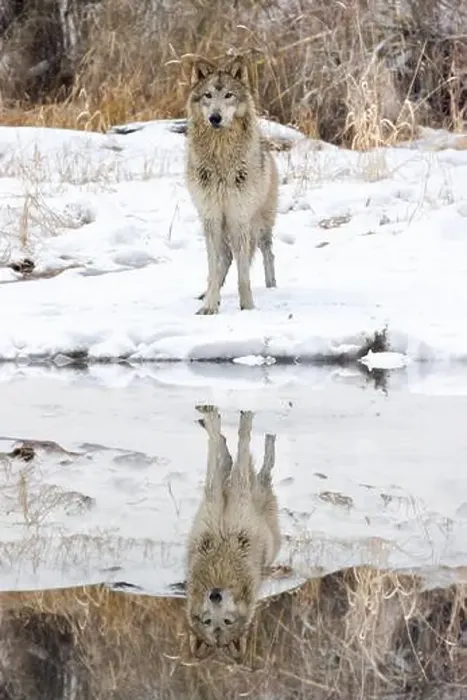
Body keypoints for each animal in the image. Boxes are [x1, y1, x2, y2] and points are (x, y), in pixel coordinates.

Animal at [185, 54, 279, 314]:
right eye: (208, 95)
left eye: (229, 95)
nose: (215, 118)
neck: (221, 159)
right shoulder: (211, 217)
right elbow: (213, 268)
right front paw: (209, 306)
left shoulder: (240, 217)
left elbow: (244, 273)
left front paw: (247, 307)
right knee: (224, 260)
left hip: (261, 225)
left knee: (267, 254)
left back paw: (272, 288)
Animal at [186, 405, 281, 660]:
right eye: (208, 622)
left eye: (227, 622)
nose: (215, 596)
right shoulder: (217, 498)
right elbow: (222, 457)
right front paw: (212, 419)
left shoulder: (238, 494)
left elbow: (241, 439)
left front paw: (221, 419)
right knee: (238, 464)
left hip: (255, 492)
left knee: (251, 466)